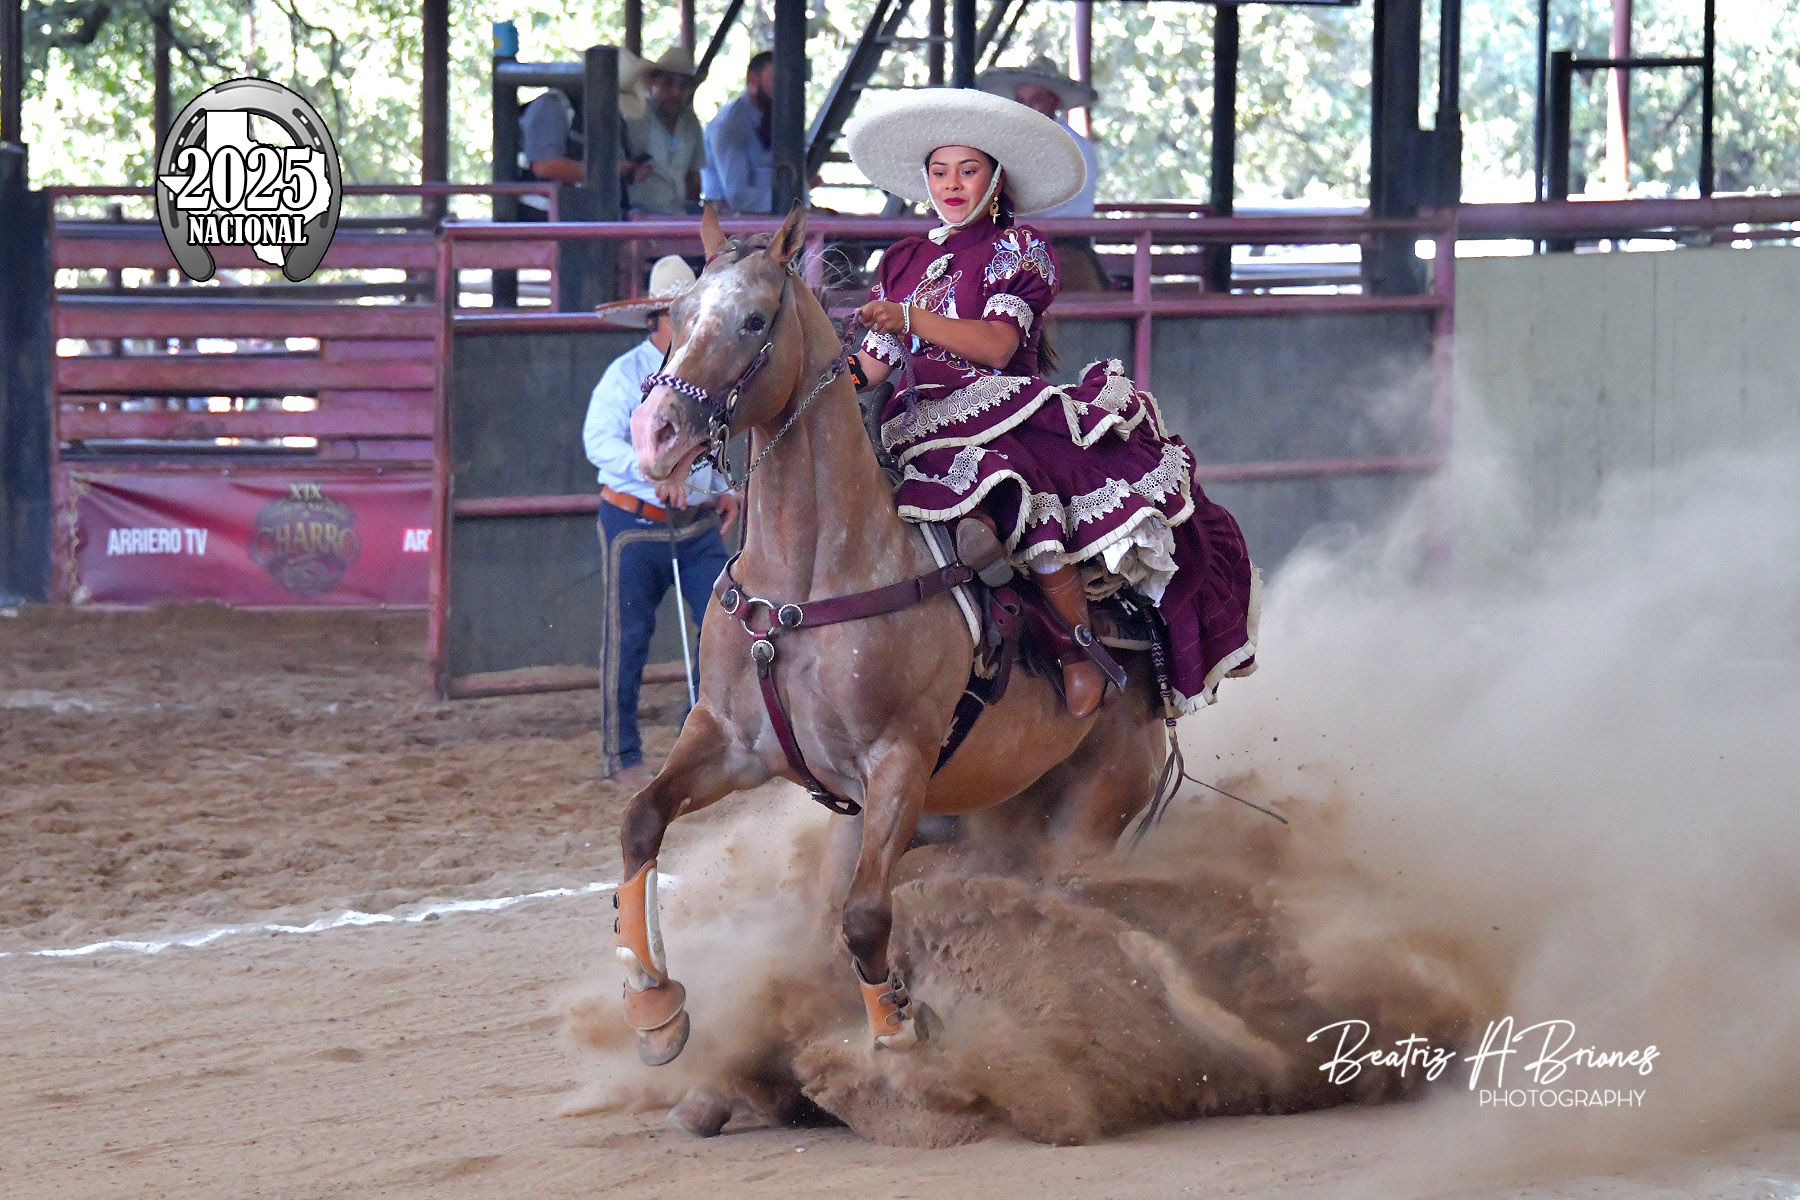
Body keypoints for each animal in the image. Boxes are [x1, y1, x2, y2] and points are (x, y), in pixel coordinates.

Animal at [617, 203, 1171, 1070]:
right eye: (676, 316)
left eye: (753, 320)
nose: (654, 433)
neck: (803, 589)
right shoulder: (731, 742)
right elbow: (643, 819)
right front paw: (654, 1007)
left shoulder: (898, 765)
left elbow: (866, 917)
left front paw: (902, 1030)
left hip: (1088, 818)